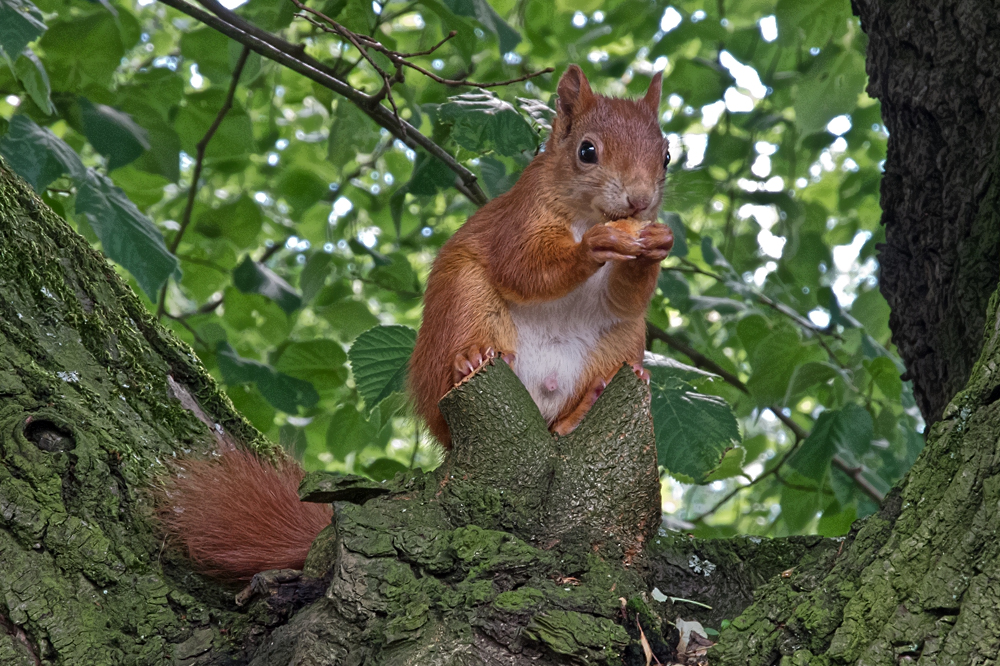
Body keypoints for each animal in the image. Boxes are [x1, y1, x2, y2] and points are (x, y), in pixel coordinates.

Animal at [158, 65, 672, 580]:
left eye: (667, 155)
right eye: (587, 151)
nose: (640, 200)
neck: (589, 214)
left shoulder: (620, 292)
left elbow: (624, 297)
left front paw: (657, 246)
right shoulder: (520, 218)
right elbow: (524, 268)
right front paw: (593, 247)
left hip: (623, 339)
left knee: (590, 385)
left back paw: (590, 401)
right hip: (463, 304)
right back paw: (472, 359)